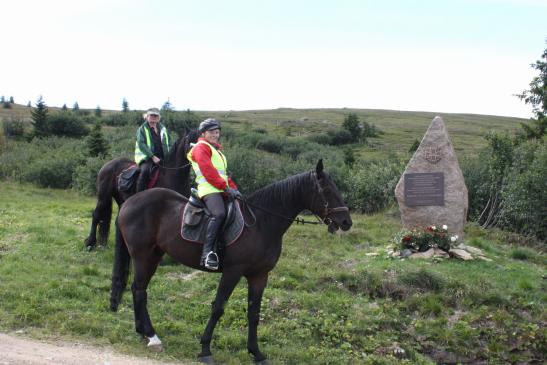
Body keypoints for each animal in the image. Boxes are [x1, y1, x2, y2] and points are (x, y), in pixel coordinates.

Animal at [110, 161, 356, 362]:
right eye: (327, 190)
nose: (346, 222)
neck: (261, 224)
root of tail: (130, 201)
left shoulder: (259, 276)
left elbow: (254, 313)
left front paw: (256, 353)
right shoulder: (232, 272)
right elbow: (218, 307)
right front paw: (205, 349)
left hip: (153, 255)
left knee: (138, 289)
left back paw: (143, 332)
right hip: (143, 256)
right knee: (139, 289)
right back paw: (152, 336)